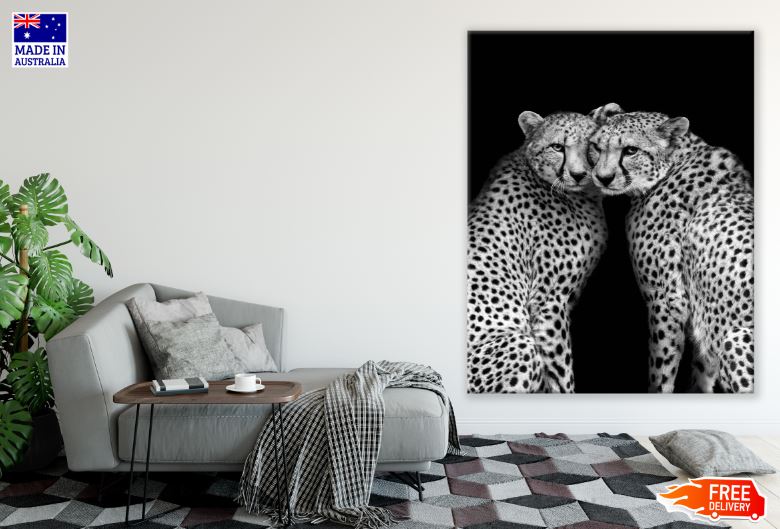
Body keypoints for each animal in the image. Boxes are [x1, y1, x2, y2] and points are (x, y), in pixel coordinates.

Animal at [467, 111, 608, 393]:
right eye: (557, 147)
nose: (579, 174)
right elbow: (561, 373)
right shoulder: (548, 303)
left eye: (592, 146)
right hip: (519, 345)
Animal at [588, 104, 754, 393]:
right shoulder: (701, 312)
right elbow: (702, 370)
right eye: (596, 147)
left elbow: (661, 372)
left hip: (736, 338)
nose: (603, 178)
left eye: (630, 150)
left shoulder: (666, 299)